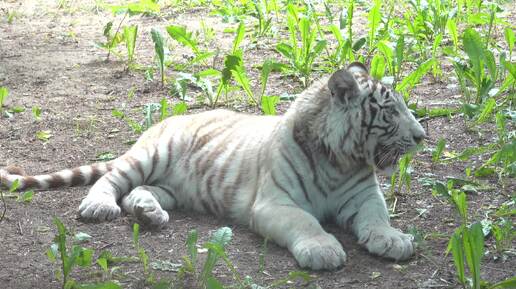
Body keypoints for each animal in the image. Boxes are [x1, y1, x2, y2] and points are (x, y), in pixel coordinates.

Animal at [2, 62, 426, 268]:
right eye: (391, 112)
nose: (422, 136)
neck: (340, 159)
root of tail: (166, 119)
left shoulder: (365, 197)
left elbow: (377, 218)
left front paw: (393, 240)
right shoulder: (274, 202)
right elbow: (305, 221)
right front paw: (323, 250)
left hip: (172, 187)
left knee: (138, 193)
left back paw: (148, 213)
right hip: (149, 155)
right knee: (111, 181)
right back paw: (98, 206)